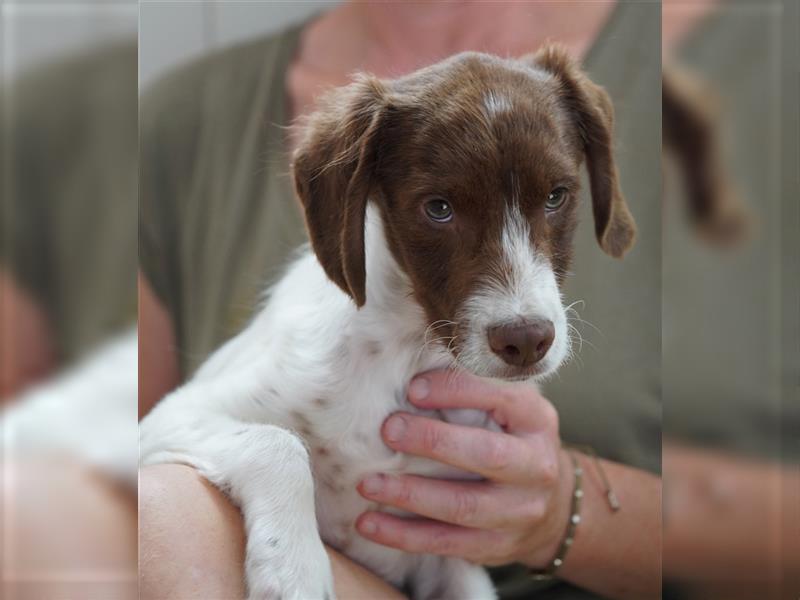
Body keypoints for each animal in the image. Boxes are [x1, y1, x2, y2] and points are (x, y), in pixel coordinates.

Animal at [139, 47, 636, 600]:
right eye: (438, 209)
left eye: (556, 196)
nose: (526, 341)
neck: (408, 353)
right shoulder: (171, 416)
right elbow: (279, 444)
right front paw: (294, 570)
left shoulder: (444, 556)